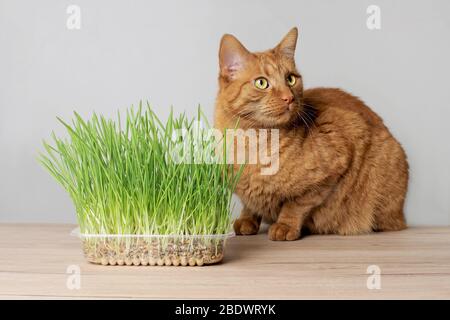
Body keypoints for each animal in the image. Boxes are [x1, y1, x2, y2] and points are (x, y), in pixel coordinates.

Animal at [214, 27, 408, 240]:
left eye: (290, 79)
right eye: (261, 83)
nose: (288, 98)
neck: (251, 146)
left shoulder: (335, 162)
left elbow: (295, 204)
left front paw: (284, 225)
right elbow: (250, 204)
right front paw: (247, 219)